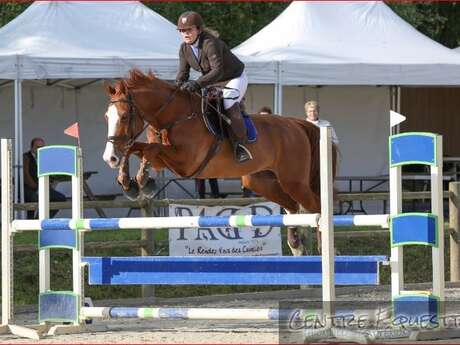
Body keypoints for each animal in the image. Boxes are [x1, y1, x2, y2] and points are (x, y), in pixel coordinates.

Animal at [102, 68, 336, 254]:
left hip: (293, 181)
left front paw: (142, 180)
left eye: (124, 116)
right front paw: (130, 183)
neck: (175, 116)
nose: (108, 158)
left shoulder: (185, 163)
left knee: (317, 206)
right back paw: (296, 245)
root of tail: (297, 125)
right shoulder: (164, 159)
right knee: (292, 206)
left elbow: (149, 149)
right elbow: (137, 148)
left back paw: (325, 248)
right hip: (260, 181)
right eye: (106, 116)